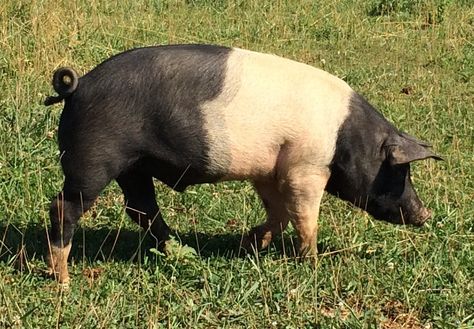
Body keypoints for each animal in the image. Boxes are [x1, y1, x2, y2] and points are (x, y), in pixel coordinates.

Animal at [44, 44, 440, 284]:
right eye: (400, 170)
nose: (426, 214)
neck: (345, 138)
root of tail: (78, 87)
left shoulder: (270, 170)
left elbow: (279, 212)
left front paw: (252, 244)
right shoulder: (306, 167)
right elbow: (304, 215)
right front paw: (311, 263)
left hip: (135, 167)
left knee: (140, 208)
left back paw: (181, 252)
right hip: (94, 160)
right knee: (64, 206)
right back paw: (62, 280)